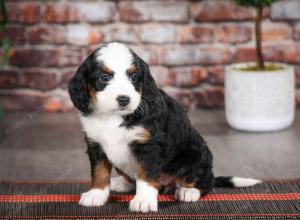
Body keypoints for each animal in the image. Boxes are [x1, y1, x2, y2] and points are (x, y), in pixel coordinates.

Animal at [68, 42, 260, 212]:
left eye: (134, 77)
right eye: (104, 77)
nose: (124, 99)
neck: (114, 117)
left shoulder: (149, 146)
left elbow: (146, 176)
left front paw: (144, 201)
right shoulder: (95, 144)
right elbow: (99, 172)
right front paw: (96, 194)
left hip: (195, 156)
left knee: (206, 182)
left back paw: (189, 191)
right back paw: (121, 183)